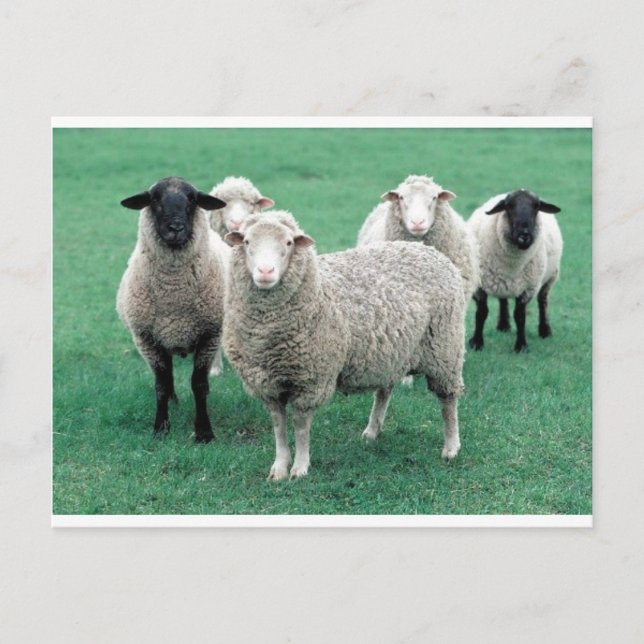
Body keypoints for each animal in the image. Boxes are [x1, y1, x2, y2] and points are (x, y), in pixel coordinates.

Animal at [116, 177, 227, 442]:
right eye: (154, 198)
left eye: (192, 198)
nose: (176, 227)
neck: (174, 295)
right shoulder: (147, 339)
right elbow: (161, 384)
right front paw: (160, 428)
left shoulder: (209, 335)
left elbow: (199, 384)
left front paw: (204, 432)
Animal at [222, 211, 466, 480]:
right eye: (246, 242)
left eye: (288, 243)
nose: (266, 271)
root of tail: (425, 249)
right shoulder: (266, 384)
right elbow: (278, 425)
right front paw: (279, 467)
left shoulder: (311, 379)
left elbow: (300, 425)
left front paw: (300, 468)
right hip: (391, 352)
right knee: (384, 391)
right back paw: (372, 431)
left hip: (445, 348)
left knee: (448, 400)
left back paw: (451, 447)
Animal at [466, 189, 563, 353]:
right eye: (508, 206)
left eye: (536, 207)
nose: (524, 235)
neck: (512, 264)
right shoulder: (479, 285)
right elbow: (481, 312)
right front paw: (477, 343)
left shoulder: (528, 288)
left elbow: (520, 316)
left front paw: (521, 346)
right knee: (503, 299)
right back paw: (503, 325)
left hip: (550, 276)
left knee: (543, 301)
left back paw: (545, 331)